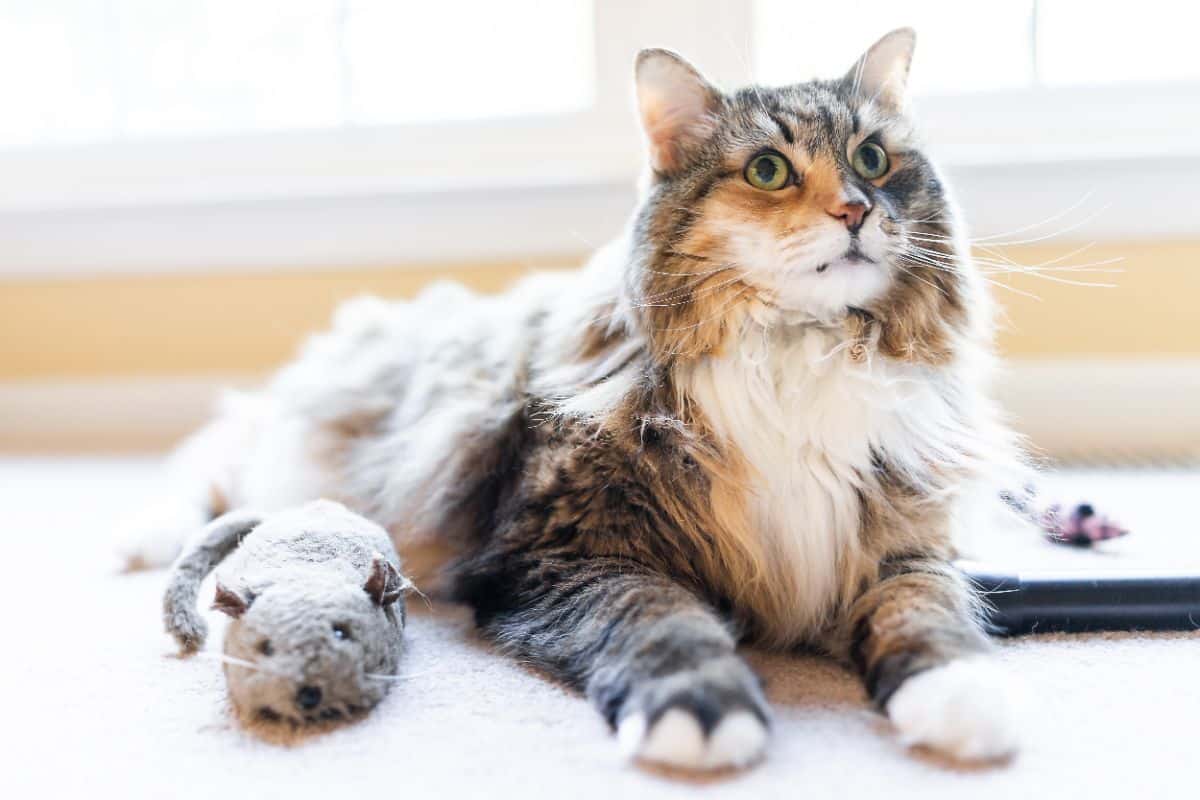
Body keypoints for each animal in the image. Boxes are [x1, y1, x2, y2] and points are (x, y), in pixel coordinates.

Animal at [121, 29, 1027, 767]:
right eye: (768, 171)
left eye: (873, 159)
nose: (856, 210)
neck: (796, 351)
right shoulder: (566, 552)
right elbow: (661, 619)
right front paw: (701, 715)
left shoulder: (900, 545)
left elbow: (928, 614)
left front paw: (964, 698)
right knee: (214, 448)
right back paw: (148, 534)